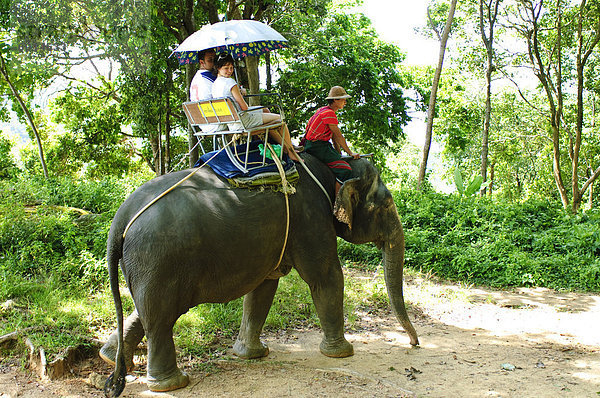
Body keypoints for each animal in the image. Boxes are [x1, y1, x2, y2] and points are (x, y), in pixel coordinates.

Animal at [102, 153, 418, 398]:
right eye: (386, 206)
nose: (414, 344)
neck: (331, 170)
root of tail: (121, 218)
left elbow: (264, 287)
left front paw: (251, 355)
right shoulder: (311, 218)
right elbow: (326, 277)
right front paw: (342, 353)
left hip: (148, 265)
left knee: (146, 311)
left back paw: (111, 358)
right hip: (159, 259)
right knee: (160, 318)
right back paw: (171, 384)